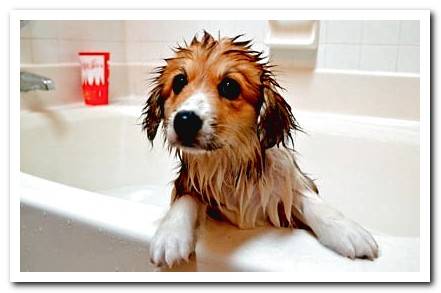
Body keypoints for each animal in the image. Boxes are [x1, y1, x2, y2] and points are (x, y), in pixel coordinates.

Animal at [142, 31, 378, 266]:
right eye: (179, 81)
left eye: (230, 86)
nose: (185, 121)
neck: (232, 164)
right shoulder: (191, 181)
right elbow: (186, 198)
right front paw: (171, 235)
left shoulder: (284, 187)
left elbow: (309, 199)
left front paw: (348, 231)